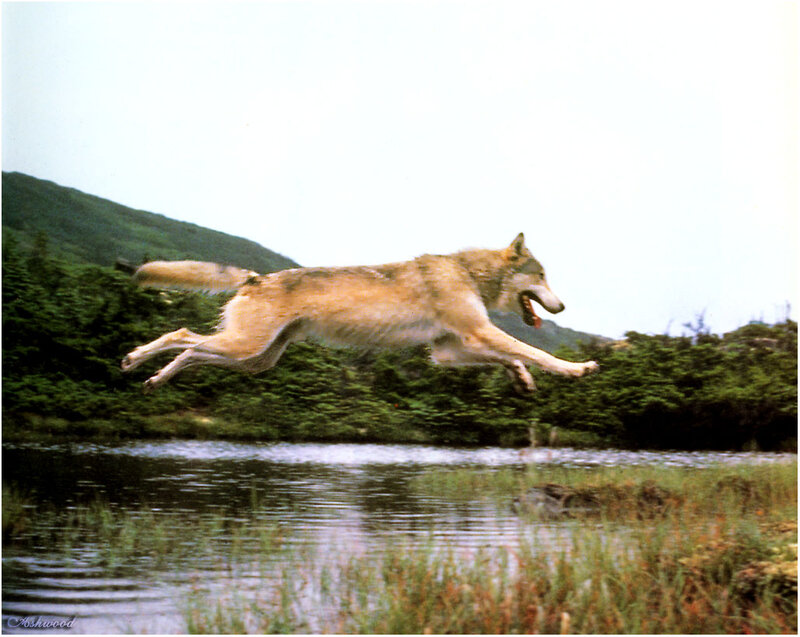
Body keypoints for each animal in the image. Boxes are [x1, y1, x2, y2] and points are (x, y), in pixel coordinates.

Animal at [121, 233, 598, 393]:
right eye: (542, 276)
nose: (563, 306)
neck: (468, 273)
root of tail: (257, 278)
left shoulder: (447, 352)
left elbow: (513, 357)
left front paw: (523, 379)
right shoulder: (474, 334)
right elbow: (534, 352)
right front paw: (577, 369)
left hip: (254, 359)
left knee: (191, 353)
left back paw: (155, 379)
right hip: (245, 348)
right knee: (181, 334)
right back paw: (134, 359)